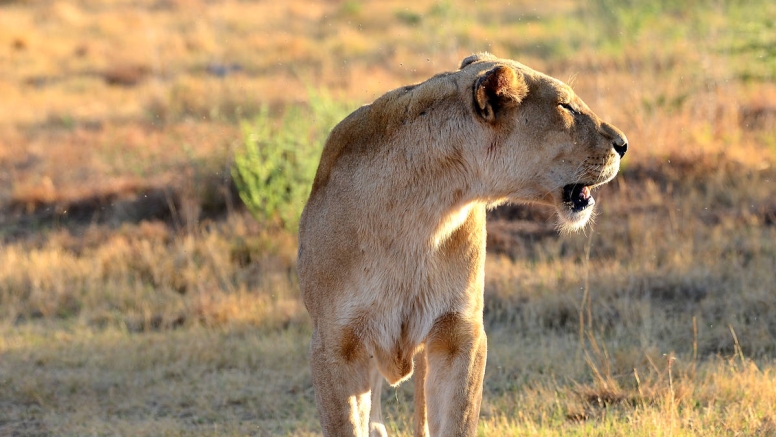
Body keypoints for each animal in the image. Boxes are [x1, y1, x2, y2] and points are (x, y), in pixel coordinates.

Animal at [298, 52, 632, 434]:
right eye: (566, 107)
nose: (624, 144)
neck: (424, 214)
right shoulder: (335, 344)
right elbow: (346, 423)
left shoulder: (459, 332)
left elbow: (456, 418)